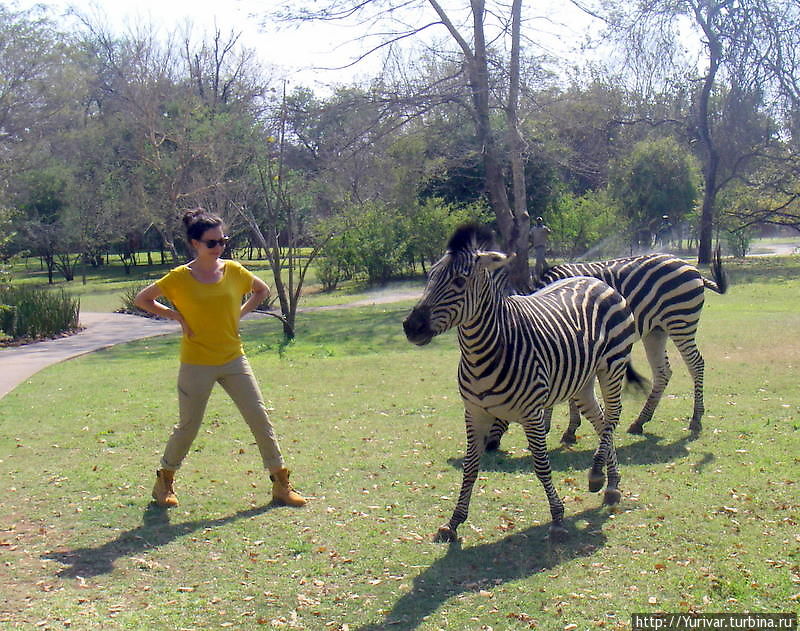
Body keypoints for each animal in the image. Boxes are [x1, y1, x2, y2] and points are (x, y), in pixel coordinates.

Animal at [400, 223, 644, 544]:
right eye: (429, 277)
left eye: (459, 281)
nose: (410, 327)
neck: (483, 352)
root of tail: (595, 280)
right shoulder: (474, 413)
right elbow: (469, 467)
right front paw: (452, 523)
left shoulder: (532, 414)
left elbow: (540, 465)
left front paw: (557, 518)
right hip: (581, 381)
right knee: (602, 421)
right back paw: (610, 483)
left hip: (612, 365)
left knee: (613, 417)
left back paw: (599, 477)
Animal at [484, 249, 728, 452]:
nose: (488, 446)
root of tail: (691, 268)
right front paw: (560, 427)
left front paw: (558, 428)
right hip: (656, 331)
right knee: (663, 372)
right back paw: (640, 421)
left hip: (681, 321)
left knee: (696, 364)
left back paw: (696, 419)